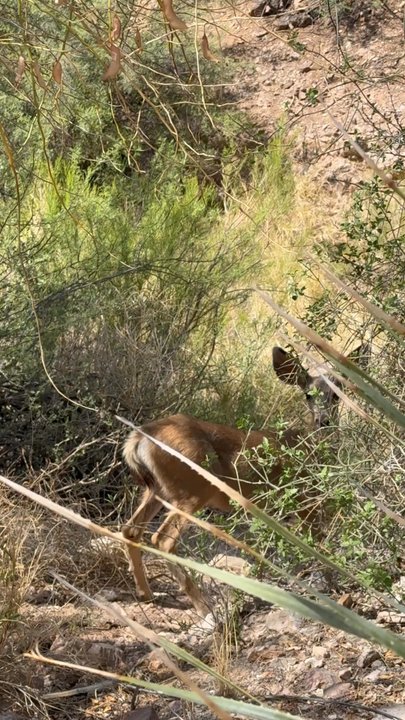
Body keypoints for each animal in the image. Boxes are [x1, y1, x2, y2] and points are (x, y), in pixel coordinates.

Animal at [121, 346, 350, 614]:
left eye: (337, 395)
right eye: (308, 395)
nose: (323, 421)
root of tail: (139, 438)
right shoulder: (305, 498)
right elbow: (317, 541)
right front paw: (333, 585)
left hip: (157, 490)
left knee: (131, 530)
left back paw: (146, 593)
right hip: (193, 489)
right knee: (163, 539)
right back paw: (204, 607)